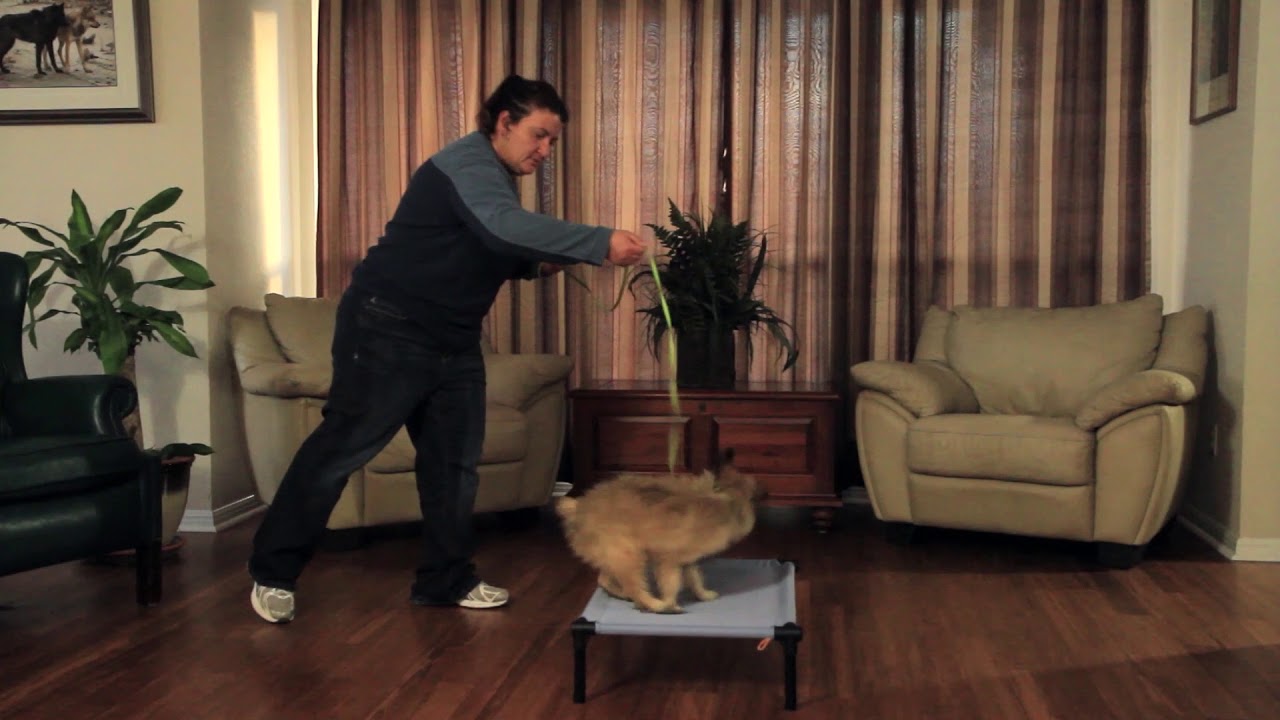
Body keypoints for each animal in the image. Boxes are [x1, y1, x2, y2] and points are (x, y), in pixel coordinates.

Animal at [555, 449, 764, 614]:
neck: (726, 499)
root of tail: (578, 508)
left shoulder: (687, 561)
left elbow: (695, 579)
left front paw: (704, 595)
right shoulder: (668, 560)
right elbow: (671, 585)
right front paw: (670, 603)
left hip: (615, 556)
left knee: (605, 579)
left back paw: (626, 595)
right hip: (629, 555)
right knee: (634, 587)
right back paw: (655, 605)